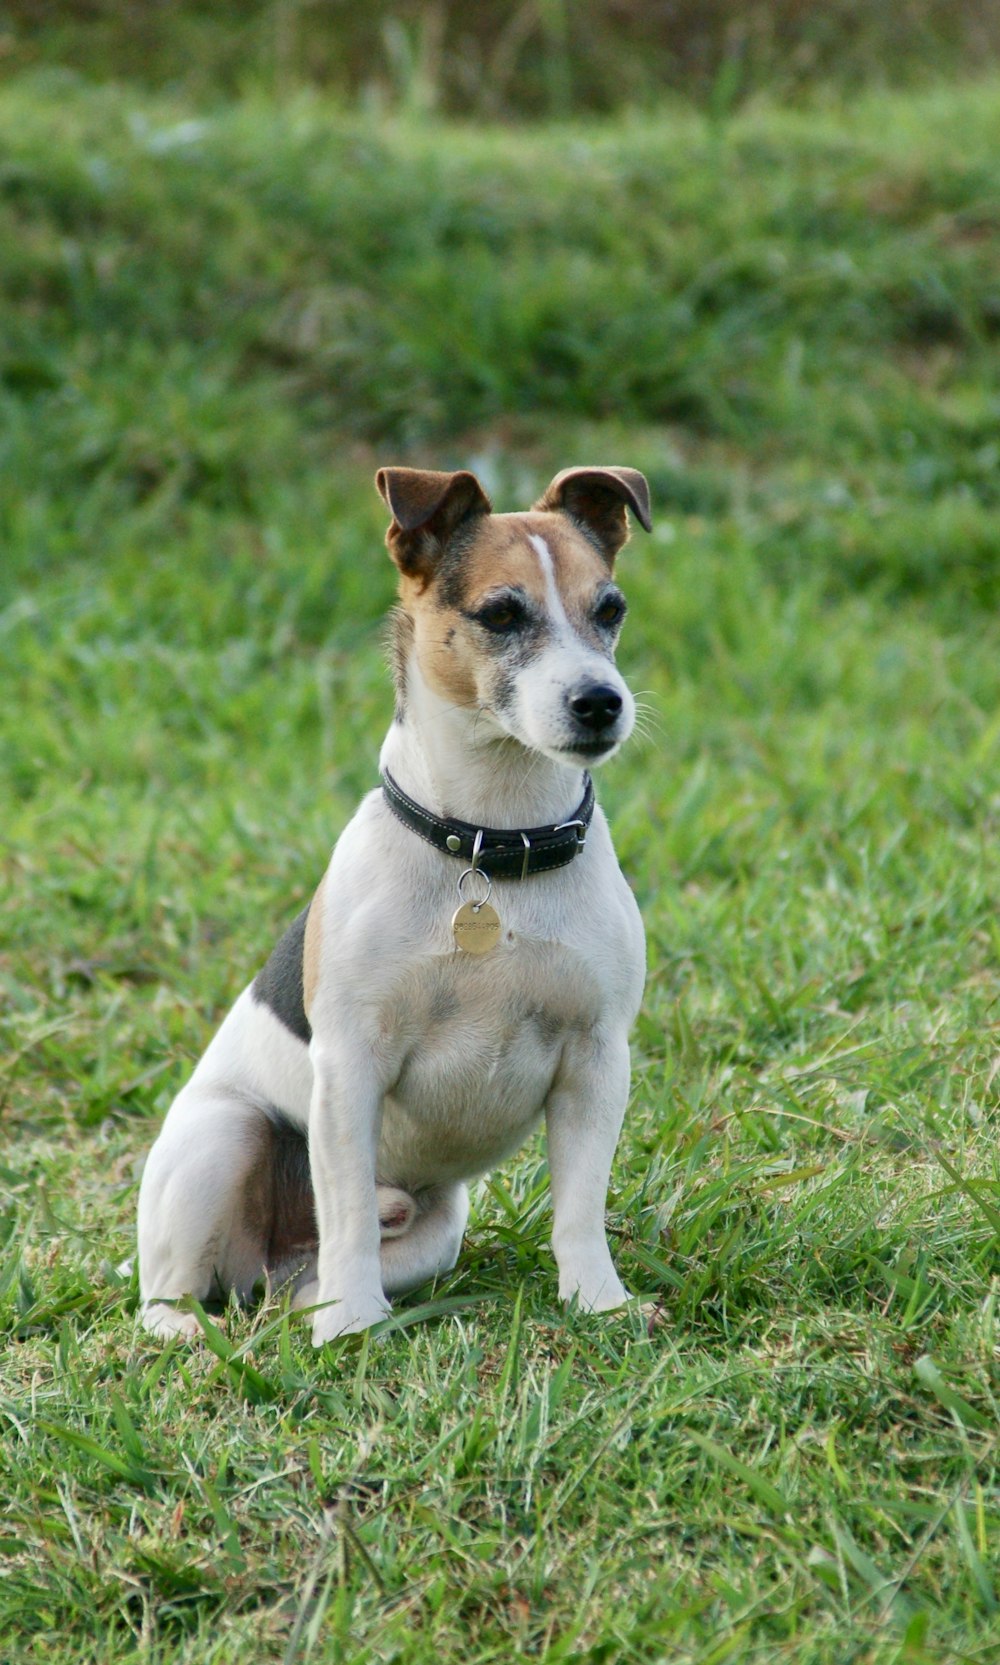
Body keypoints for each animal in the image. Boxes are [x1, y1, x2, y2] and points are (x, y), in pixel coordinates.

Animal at [140, 466, 652, 1338]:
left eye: (610, 609)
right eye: (502, 613)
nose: (600, 701)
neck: (492, 844)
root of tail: (266, 1268)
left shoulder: (596, 1057)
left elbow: (579, 1208)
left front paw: (599, 1303)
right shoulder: (352, 1065)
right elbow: (347, 1207)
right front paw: (350, 1326)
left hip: (436, 1227)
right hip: (222, 1134)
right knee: (171, 1289)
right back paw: (202, 1333)